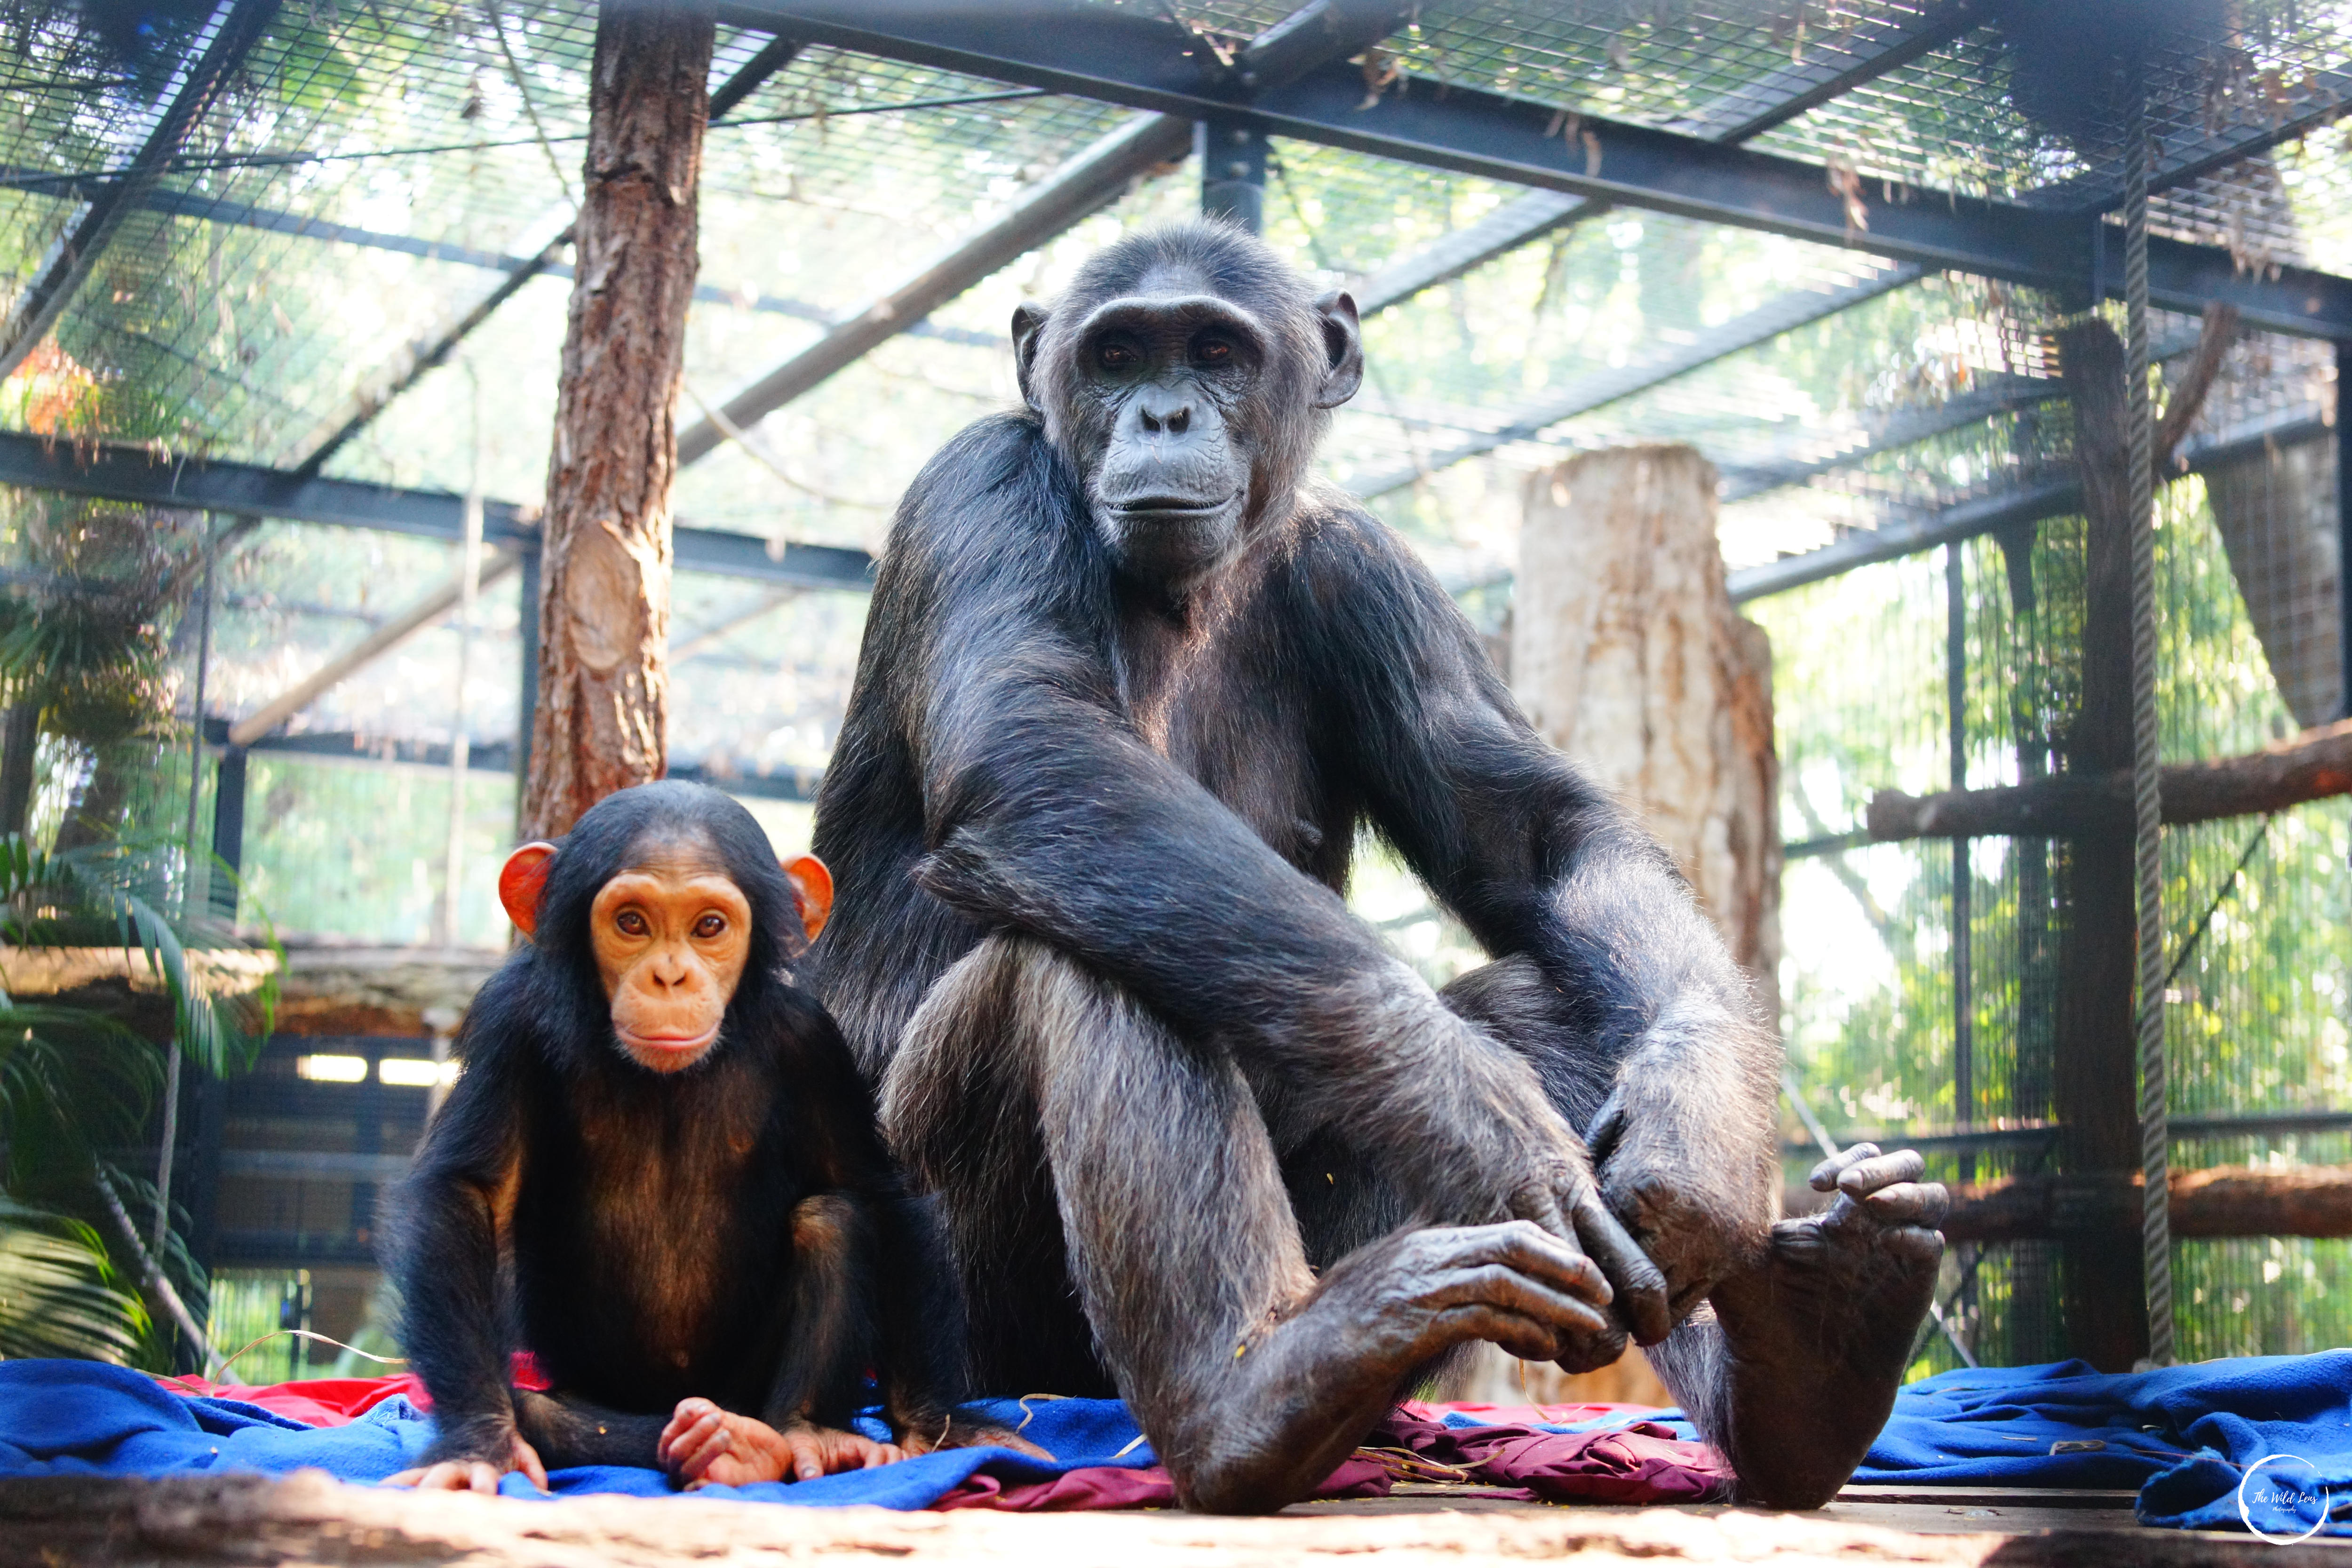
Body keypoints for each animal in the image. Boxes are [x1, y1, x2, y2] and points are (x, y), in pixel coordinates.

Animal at [384, 780, 997, 1494]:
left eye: (709, 926)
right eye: (631, 923)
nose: (670, 977)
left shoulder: (812, 1041)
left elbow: (873, 1192)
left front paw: (933, 1426)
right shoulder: (510, 1018)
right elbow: (471, 1193)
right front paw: (480, 1444)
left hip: (745, 1384)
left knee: (833, 1219)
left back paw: (789, 1436)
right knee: (551, 1410)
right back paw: (713, 1445)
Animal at [806, 220, 1947, 1513]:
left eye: (1214, 351)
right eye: (1114, 354)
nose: (1162, 413)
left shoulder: (1371, 575)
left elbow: (1539, 840)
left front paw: (1695, 1130)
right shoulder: (980, 487)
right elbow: (1033, 743)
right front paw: (1485, 1122)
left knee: (1544, 992)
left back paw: (1816, 1354)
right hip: (981, 1334)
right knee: (1082, 950)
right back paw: (1250, 1398)